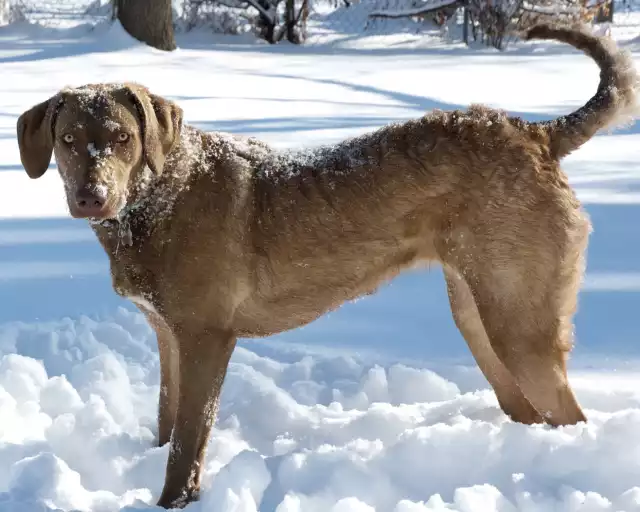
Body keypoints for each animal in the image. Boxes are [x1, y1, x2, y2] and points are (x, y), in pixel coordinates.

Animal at [15, 23, 640, 508]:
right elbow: (166, 425)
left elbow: (187, 444)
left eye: (122, 138)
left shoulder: (206, 338)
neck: (156, 198)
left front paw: (173, 502)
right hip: (478, 314)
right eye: (68, 139)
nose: (91, 197)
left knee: (569, 415)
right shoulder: (167, 334)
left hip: (518, 322)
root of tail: (535, 133)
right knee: (528, 411)